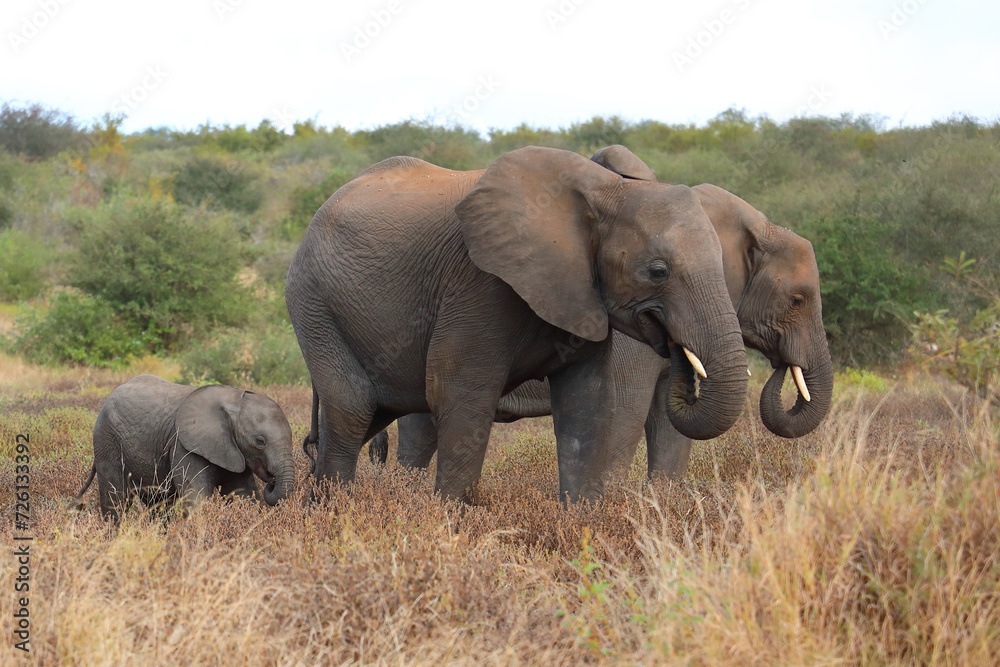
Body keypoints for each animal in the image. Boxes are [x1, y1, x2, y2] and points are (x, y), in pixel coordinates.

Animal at [73, 376, 294, 520]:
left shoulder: (233, 448)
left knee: (158, 504)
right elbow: (196, 496)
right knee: (117, 499)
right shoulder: (184, 445)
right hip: (106, 439)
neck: (234, 399)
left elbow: (243, 496)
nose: (272, 482)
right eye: (260, 441)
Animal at [286, 145, 748, 500]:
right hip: (313, 302)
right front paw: (450, 525)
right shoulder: (479, 284)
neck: (605, 191)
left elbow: (588, 405)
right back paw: (334, 515)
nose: (678, 352)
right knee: (353, 410)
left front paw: (581, 525)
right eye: (657, 271)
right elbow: (460, 395)